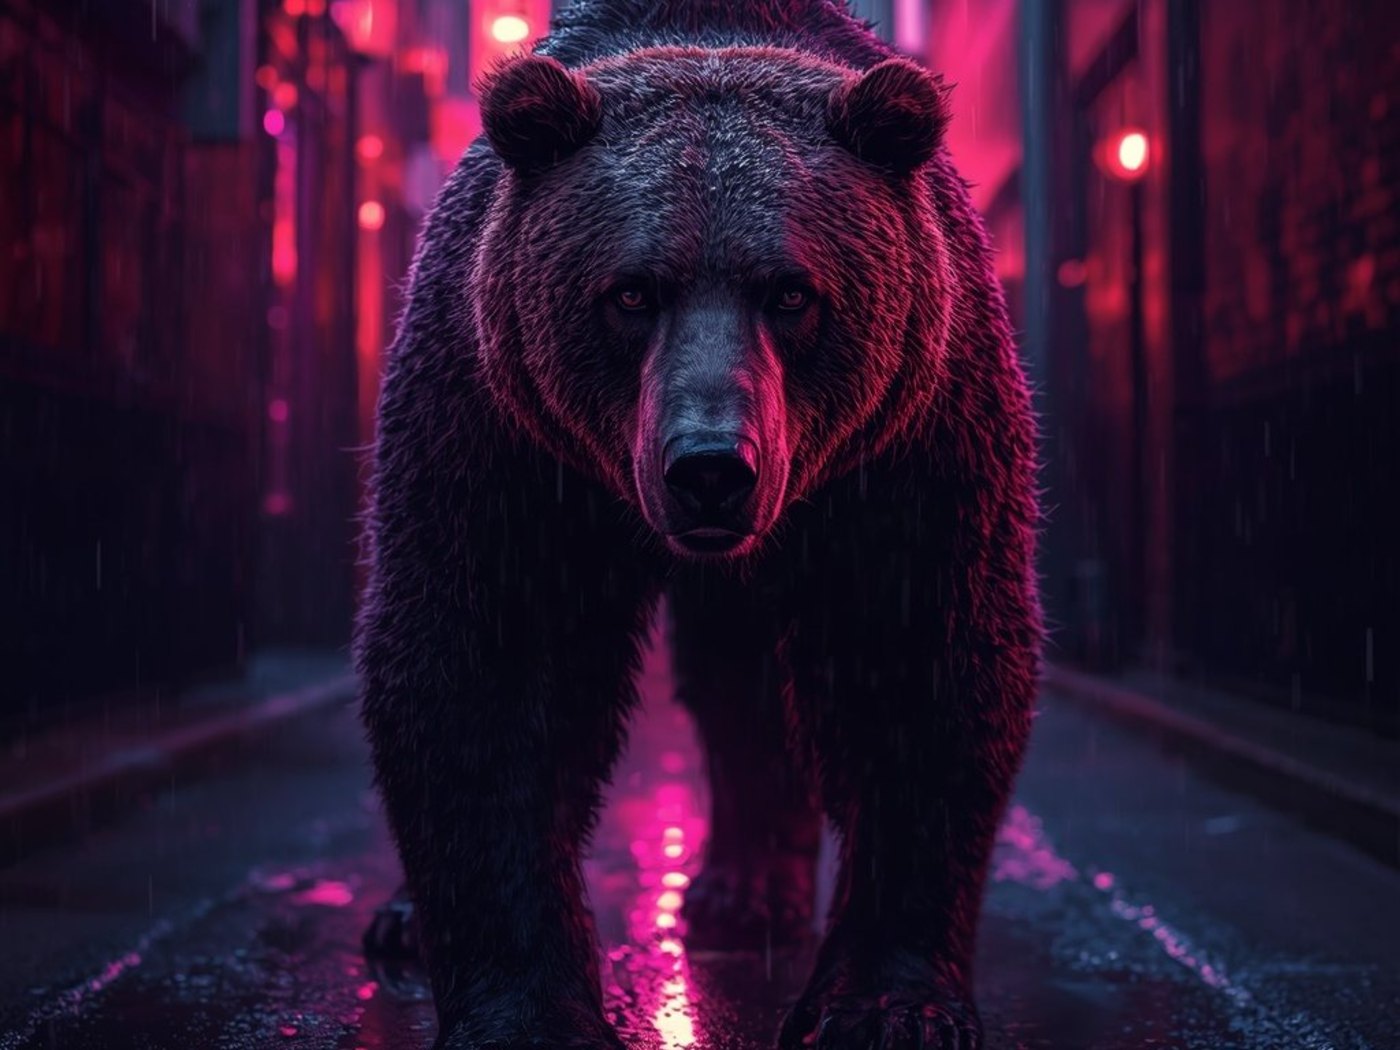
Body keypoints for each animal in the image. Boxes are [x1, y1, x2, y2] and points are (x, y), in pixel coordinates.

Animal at [354, 1, 1041, 1048]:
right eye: (631, 291)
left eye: (792, 291)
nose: (711, 467)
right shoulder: (500, 431)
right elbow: (490, 665)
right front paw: (527, 1009)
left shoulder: (915, 439)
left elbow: (916, 660)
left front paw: (889, 1003)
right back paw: (404, 918)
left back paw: (745, 889)